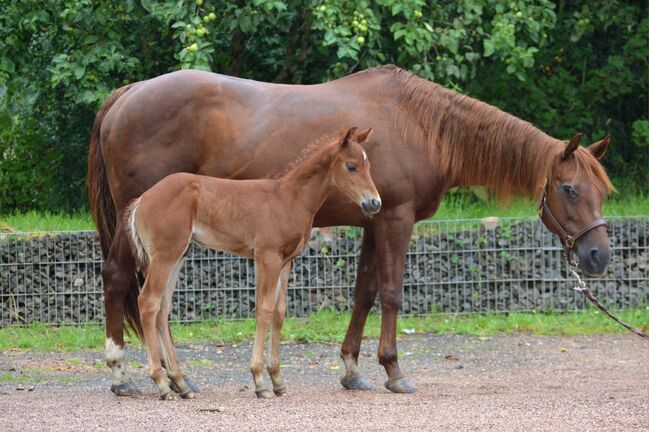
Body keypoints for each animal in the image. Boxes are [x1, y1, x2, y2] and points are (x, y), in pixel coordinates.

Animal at [123, 126, 380, 400]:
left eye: (368, 164)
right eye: (351, 166)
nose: (374, 203)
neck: (289, 199)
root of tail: (141, 200)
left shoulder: (286, 261)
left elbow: (279, 312)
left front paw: (277, 380)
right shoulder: (267, 257)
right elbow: (264, 310)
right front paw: (259, 381)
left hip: (177, 256)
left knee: (163, 308)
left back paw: (181, 383)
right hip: (165, 256)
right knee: (148, 302)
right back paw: (162, 384)